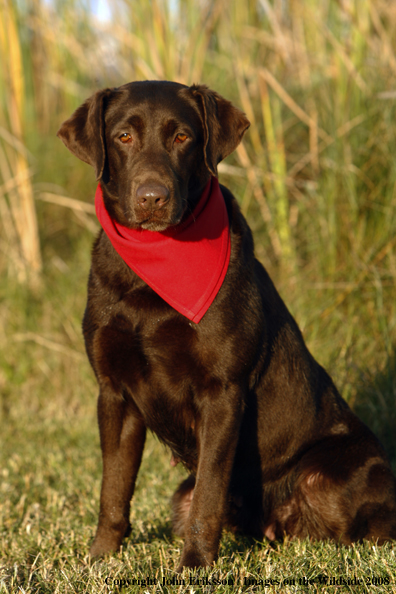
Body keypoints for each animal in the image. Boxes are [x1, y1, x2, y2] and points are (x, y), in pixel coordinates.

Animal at [55, 81, 396, 568]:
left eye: (182, 137)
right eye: (123, 137)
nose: (152, 197)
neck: (152, 271)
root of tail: (272, 521)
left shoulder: (221, 391)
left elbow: (210, 493)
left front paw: (195, 565)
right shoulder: (114, 392)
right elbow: (114, 490)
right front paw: (101, 558)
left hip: (328, 476)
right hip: (180, 495)